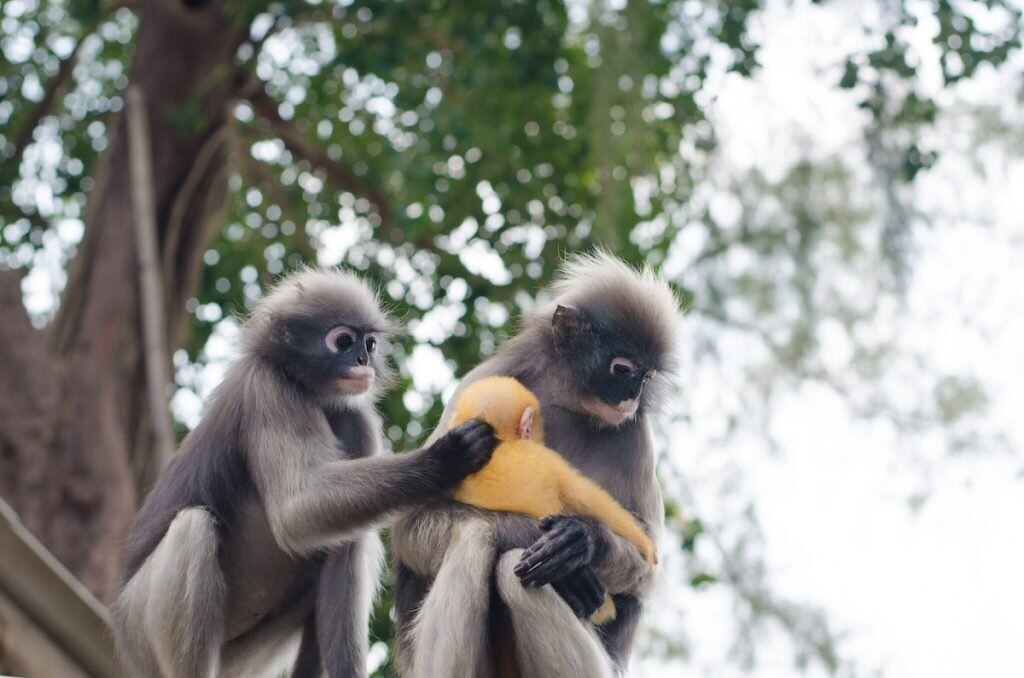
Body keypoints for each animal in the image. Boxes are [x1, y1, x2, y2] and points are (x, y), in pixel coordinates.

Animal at [112, 270, 495, 678]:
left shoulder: (357, 420)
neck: (310, 392)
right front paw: (446, 457)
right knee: (193, 527)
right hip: (138, 633)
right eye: (343, 341)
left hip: (244, 653)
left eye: (370, 343)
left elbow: (336, 534)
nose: (363, 359)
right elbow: (295, 510)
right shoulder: (268, 386)